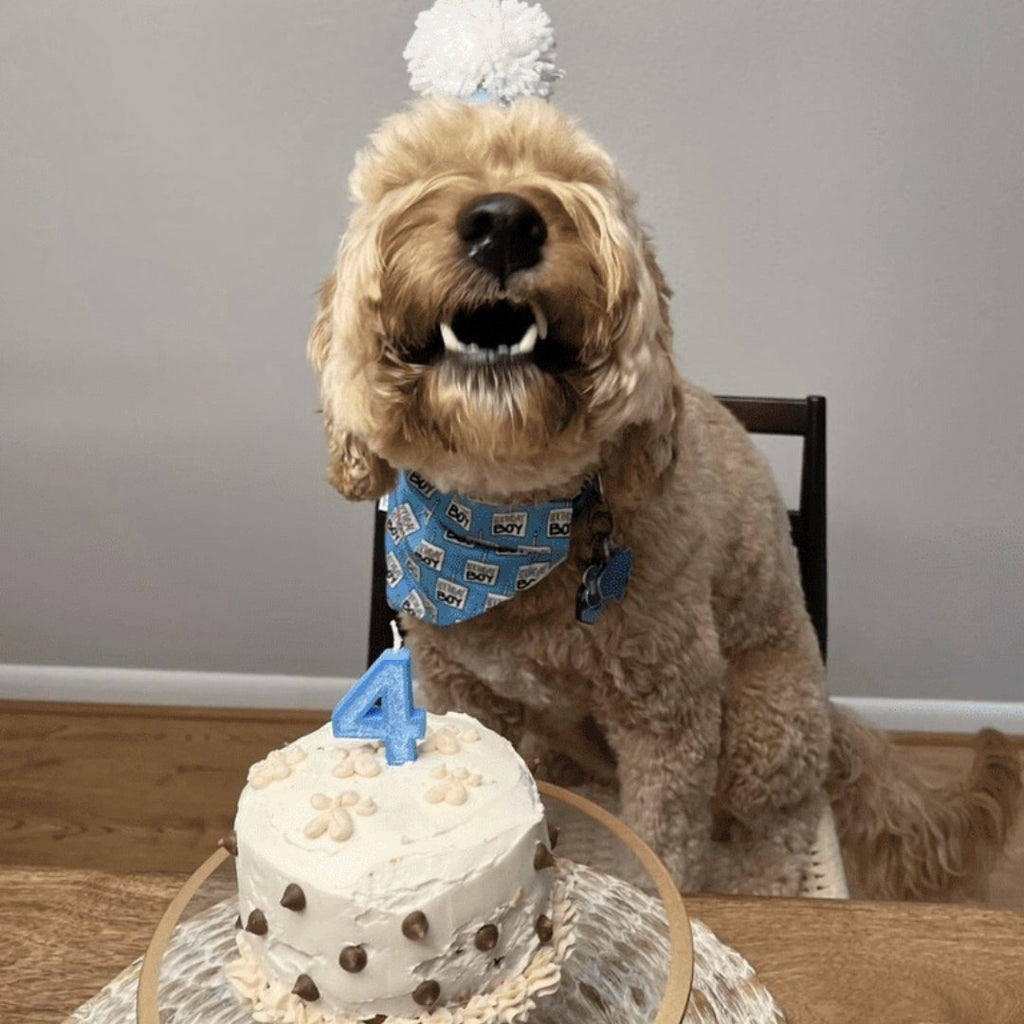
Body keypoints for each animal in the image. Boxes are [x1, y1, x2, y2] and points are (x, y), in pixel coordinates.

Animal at [307, 96, 1019, 897]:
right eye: (413, 171)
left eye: (573, 171)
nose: (504, 221)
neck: (506, 520)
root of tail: (834, 715)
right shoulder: (457, 684)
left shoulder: (670, 710)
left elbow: (669, 840)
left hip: (765, 724)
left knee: (782, 821)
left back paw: (766, 873)